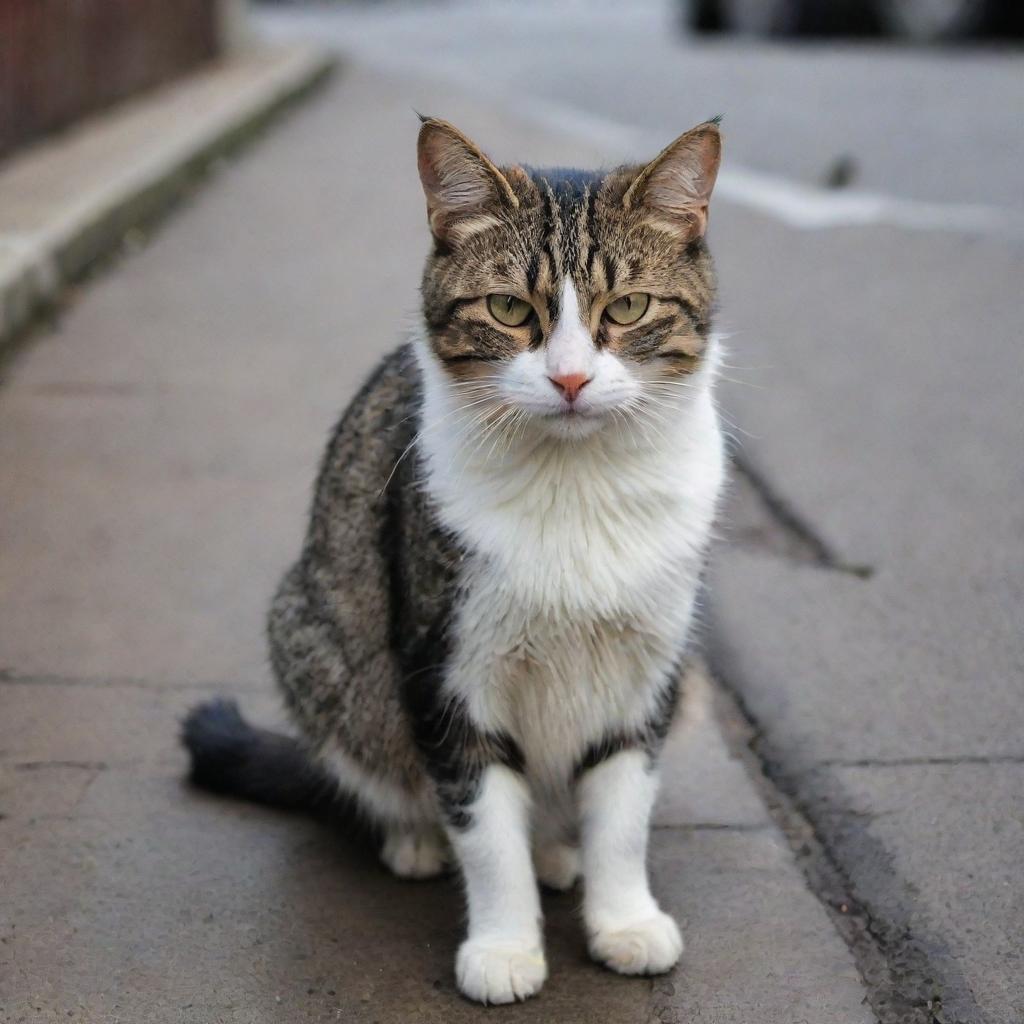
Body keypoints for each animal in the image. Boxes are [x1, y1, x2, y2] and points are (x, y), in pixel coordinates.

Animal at [186, 116, 729, 1003]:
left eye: (629, 306)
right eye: (510, 308)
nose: (570, 379)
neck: (574, 483)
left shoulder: (648, 671)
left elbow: (622, 814)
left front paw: (625, 920)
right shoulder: (445, 665)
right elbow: (484, 822)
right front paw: (505, 947)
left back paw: (559, 852)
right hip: (316, 638)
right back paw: (414, 841)